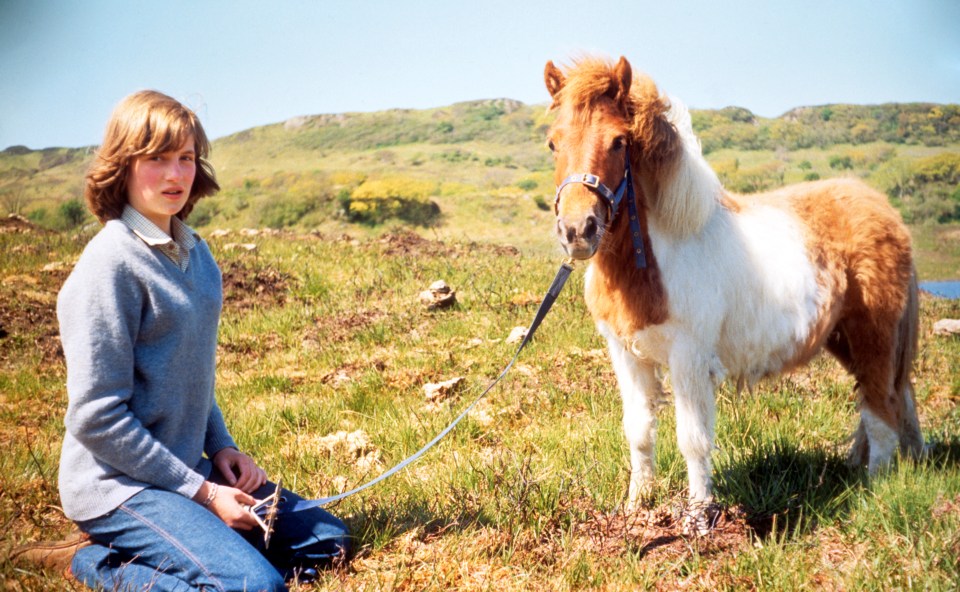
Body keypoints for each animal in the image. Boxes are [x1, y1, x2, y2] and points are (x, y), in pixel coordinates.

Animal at [540, 55, 924, 528]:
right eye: (553, 143)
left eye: (618, 141)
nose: (578, 230)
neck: (661, 254)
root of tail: (886, 211)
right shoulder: (626, 354)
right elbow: (639, 431)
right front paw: (635, 508)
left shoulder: (688, 358)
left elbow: (693, 439)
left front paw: (698, 516)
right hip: (845, 340)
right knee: (891, 400)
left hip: (874, 338)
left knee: (881, 411)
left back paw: (874, 489)